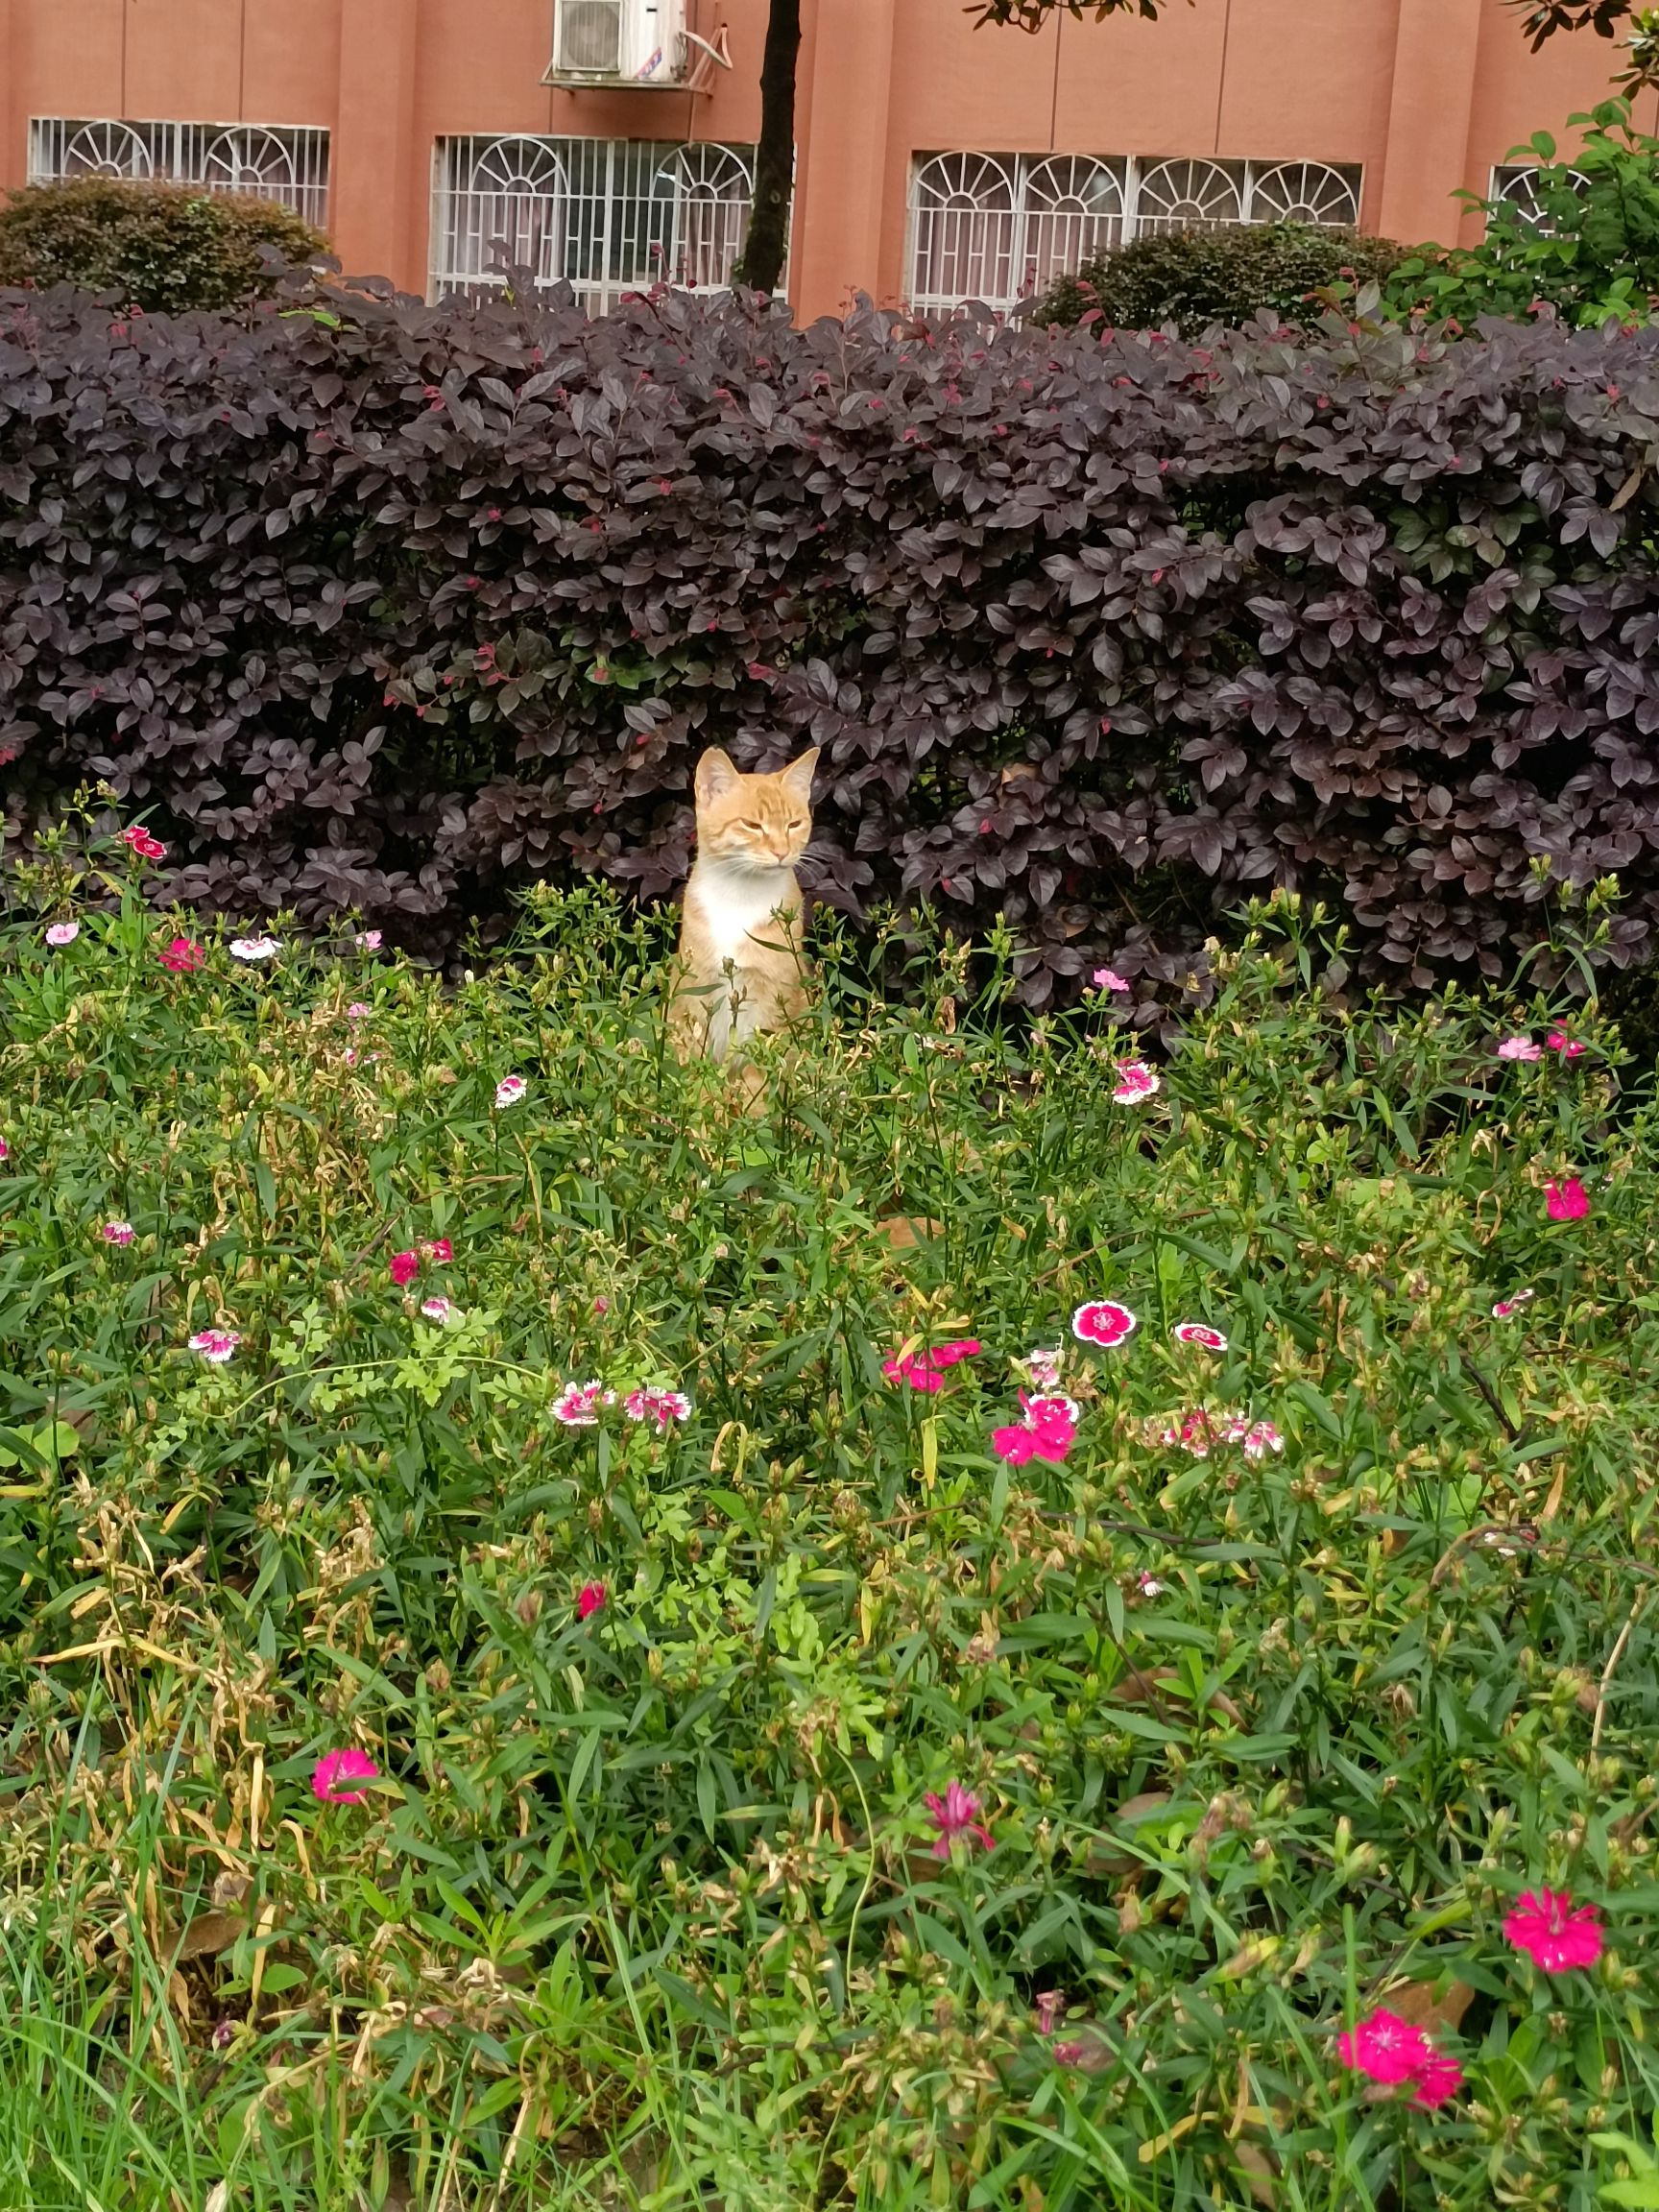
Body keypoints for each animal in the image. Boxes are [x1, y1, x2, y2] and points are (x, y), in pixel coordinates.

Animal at [669, 744, 820, 1063]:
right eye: (752, 825)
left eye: (794, 824)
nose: (781, 851)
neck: (740, 895)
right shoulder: (698, 990)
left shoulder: (772, 999)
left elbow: (757, 1065)